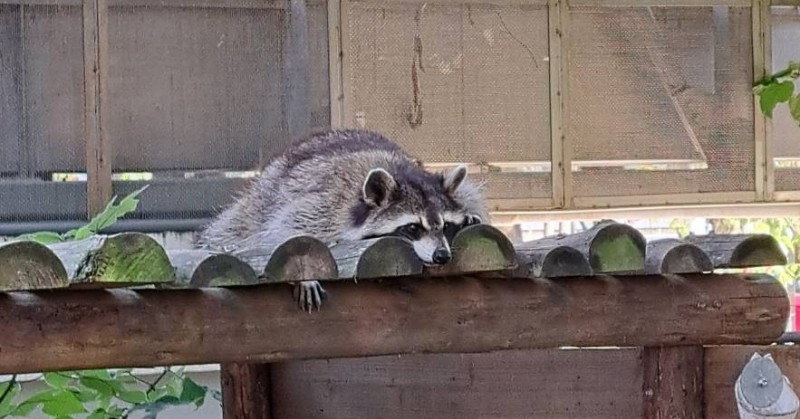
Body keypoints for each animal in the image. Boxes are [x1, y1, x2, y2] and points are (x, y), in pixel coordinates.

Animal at [197, 130, 490, 312]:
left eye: (446, 226)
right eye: (413, 227)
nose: (442, 255)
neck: (402, 173)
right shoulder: (325, 206)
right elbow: (285, 230)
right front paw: (304, 276)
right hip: (261, 197)